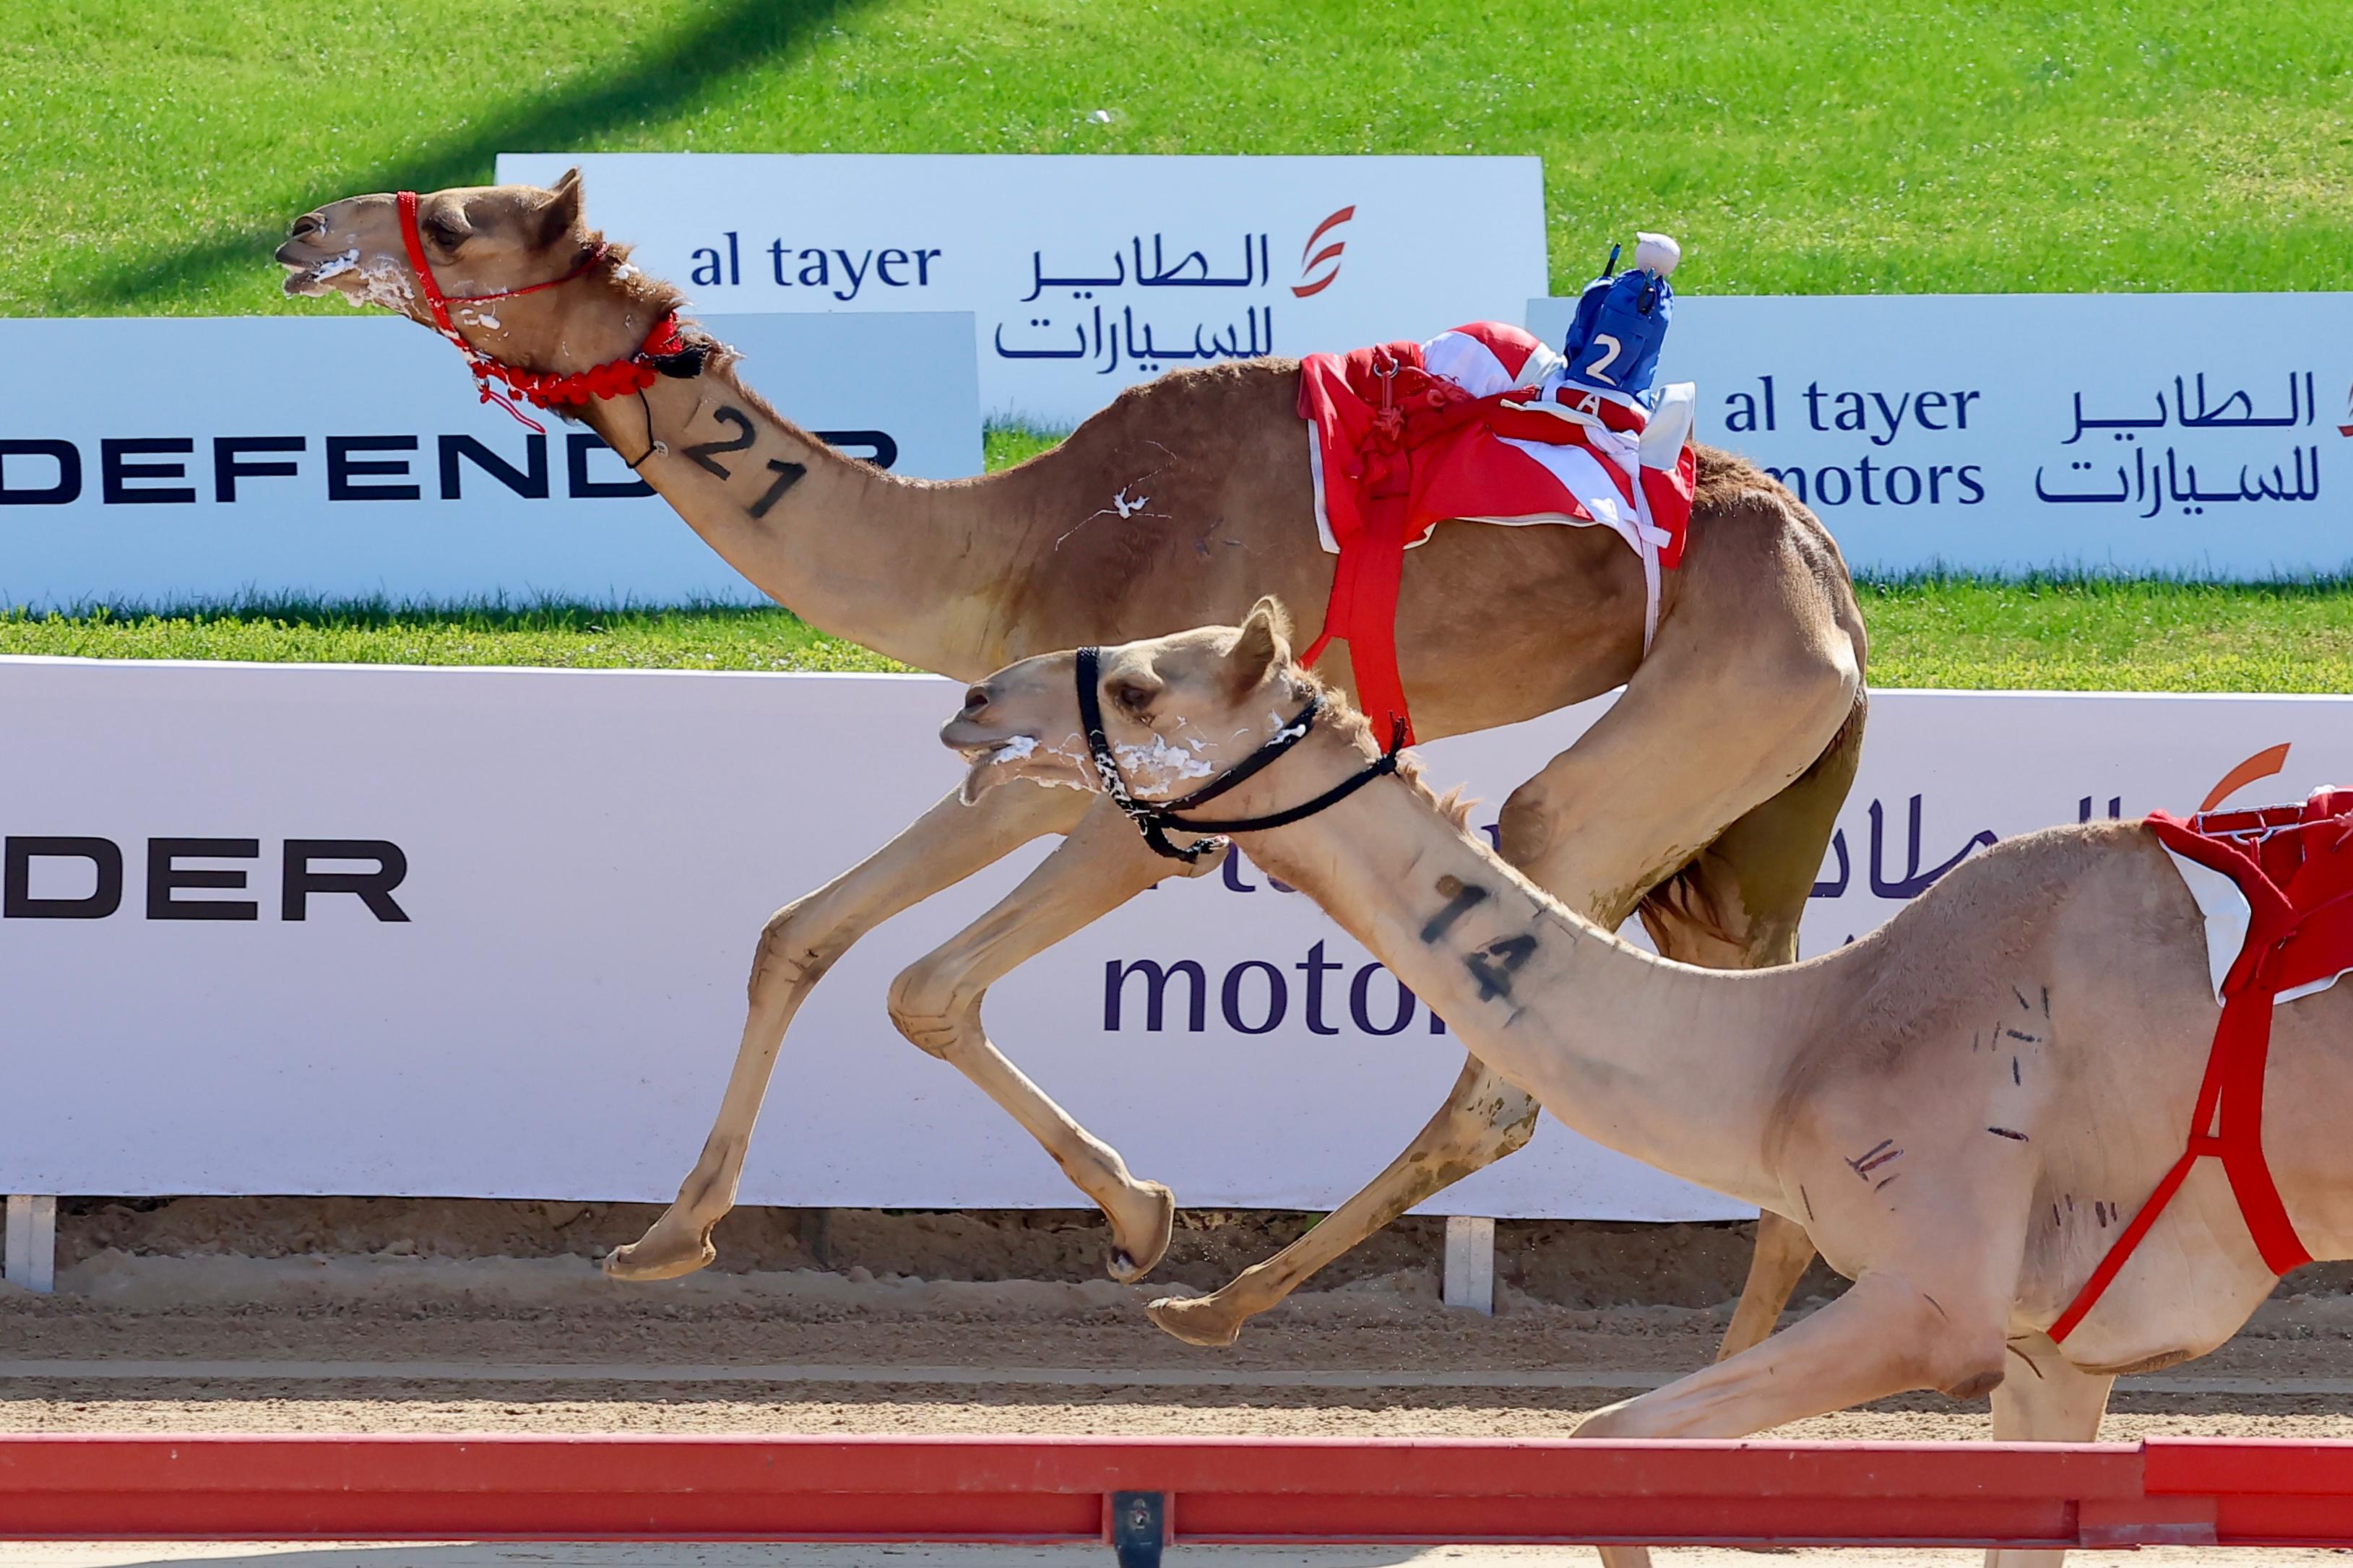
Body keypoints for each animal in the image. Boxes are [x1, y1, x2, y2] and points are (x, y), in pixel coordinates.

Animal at [275, 169, 1863, 1353]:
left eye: (462, 221)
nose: (299, 230)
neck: (1020, 534)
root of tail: (1833, 599)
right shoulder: (1027, 748)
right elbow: (801, 932)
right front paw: (668, 1232)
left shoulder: (1158, 796)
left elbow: (924, 984)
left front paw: (1143, 1216)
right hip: (1729, 829)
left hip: (1662, 748)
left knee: (1520, 1023)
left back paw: (1225, 1304)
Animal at [946, 597, 2353, 1568]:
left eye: (1140, 687)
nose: (976, 698)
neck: (1802, 1038)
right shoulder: (2046, 1353)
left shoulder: (1933, 1298)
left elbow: (1601, 1447)